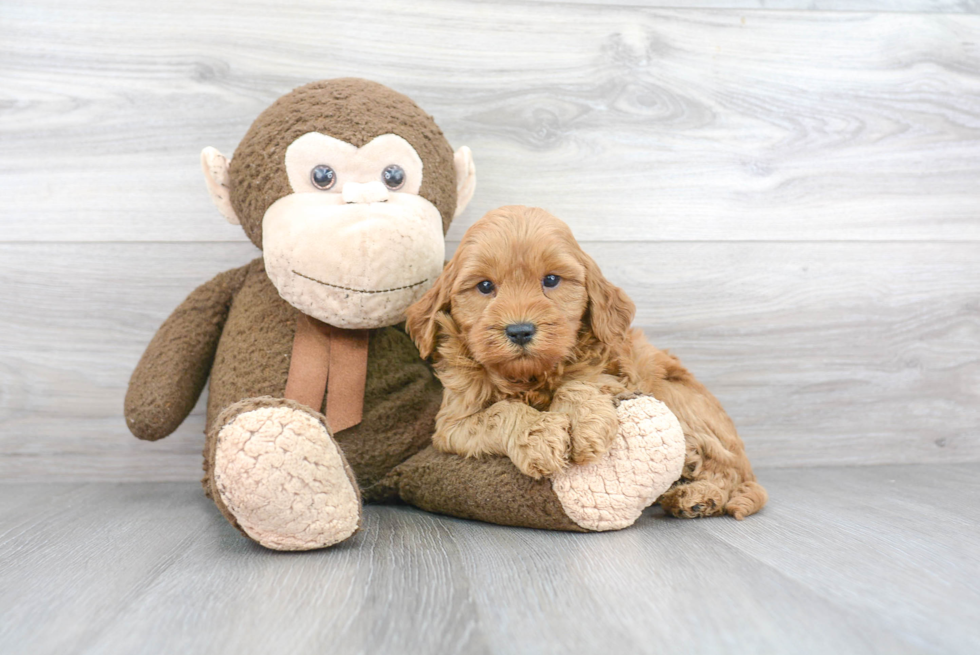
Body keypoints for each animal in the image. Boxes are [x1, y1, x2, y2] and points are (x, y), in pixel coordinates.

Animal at [404, 208, 764, 520]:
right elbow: (499, 412)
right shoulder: (452, 425)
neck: (529, 378)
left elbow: (581, 383)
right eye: (485, 286)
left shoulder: (616, 374)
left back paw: (698, 494)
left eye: (551, 280)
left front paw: (585, 424)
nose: (520, 331)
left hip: (677, 396)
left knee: (728, 470)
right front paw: (539, 438)